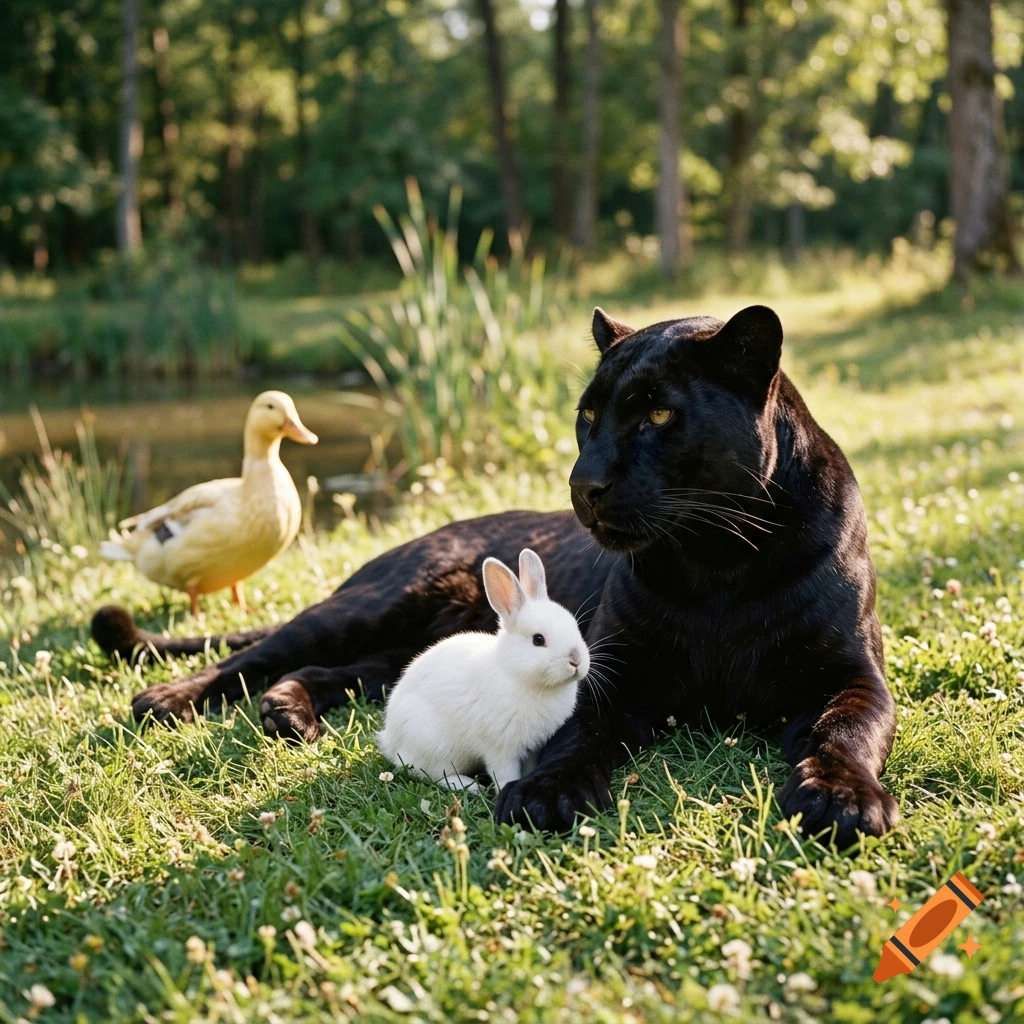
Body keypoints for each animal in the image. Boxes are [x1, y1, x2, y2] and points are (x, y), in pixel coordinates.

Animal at [376, 549, 590, 794]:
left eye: (574, 626)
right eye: (538, 640)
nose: (576, 660)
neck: (516, 673)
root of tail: (390, 741)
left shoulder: (532, 748)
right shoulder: (500, 748)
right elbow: (504, 772)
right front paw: (506, 788)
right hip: (433, 745)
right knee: (427, 772)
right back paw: (468, 785)